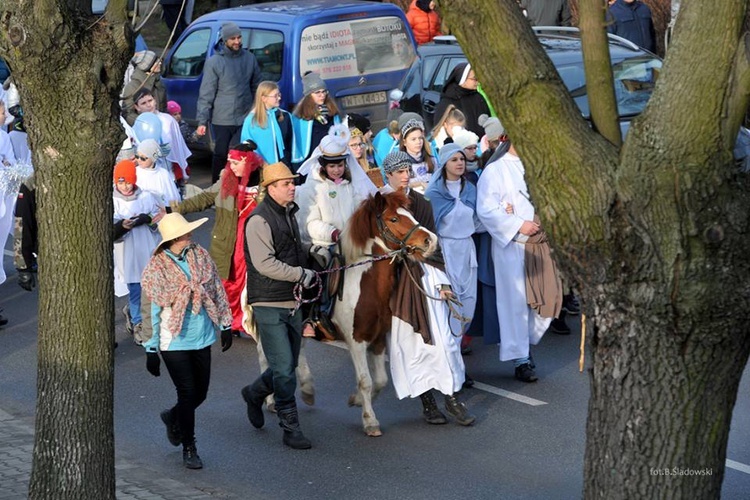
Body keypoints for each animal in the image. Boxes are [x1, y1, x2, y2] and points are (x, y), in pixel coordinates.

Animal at [334, 189, 440, 436]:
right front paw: (370, 420)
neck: (364, 284)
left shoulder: (379, 337)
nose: (431, 240)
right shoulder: (356, 340)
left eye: (410, 213)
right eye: (393, 218)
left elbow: (380, 380)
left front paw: (356, 400)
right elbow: (365, 380)